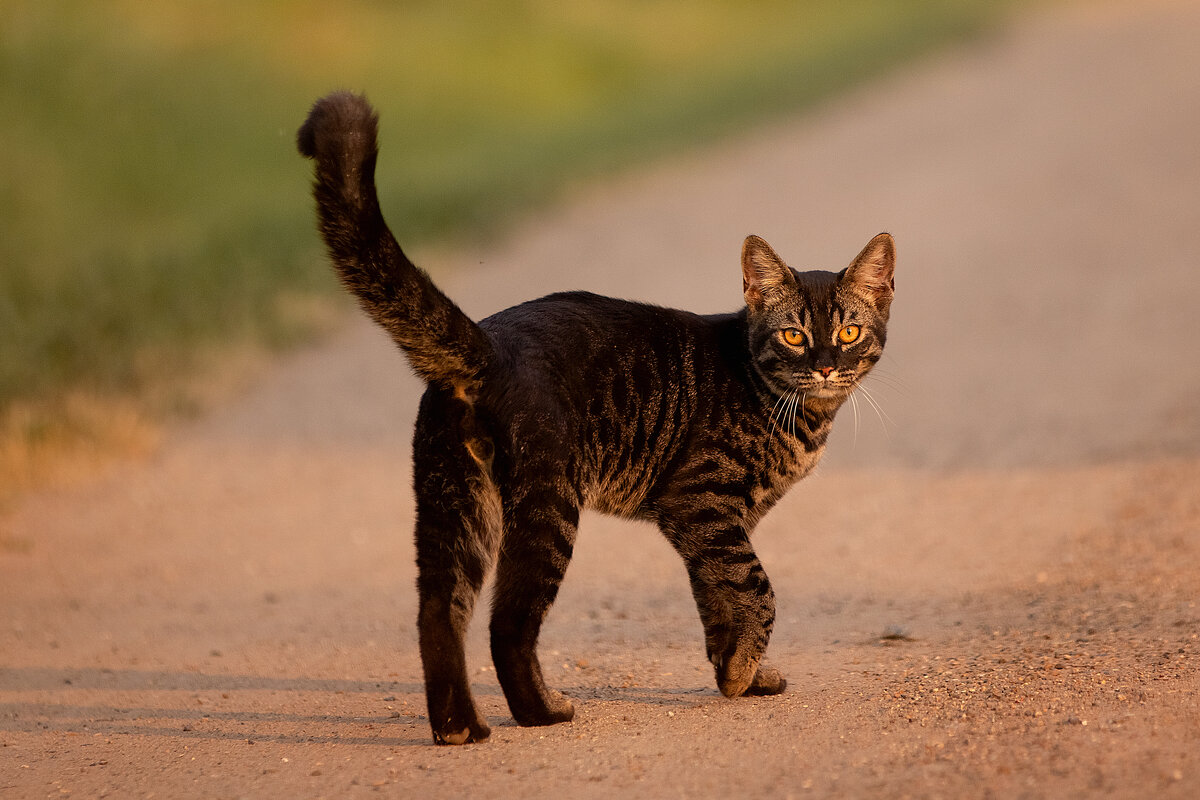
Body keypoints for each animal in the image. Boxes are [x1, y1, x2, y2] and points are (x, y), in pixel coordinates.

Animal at [296, 92, 897, 743]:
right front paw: (742, 672)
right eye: (794, 336)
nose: (825, 366)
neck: (797, 413)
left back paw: (459, 726)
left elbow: (717, 598)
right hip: (547, 509)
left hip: (452, 505)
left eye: (848, 333)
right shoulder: (701, 505)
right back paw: (540, 711)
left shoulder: (713, 527)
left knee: (438, 612)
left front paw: (740, 672)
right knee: (507, 624)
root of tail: (489, 343)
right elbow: (754, 588)